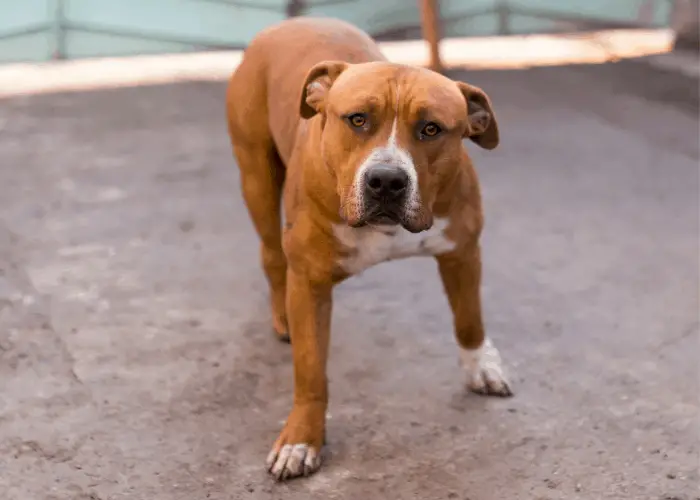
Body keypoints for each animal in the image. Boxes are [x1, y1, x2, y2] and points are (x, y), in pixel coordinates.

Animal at [227, 17, 512, 482]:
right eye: (357, 120)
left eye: (431, 129)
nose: (387, 181)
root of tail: (291, 22)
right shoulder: (308, 283)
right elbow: (310, 373)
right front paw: (301, 440)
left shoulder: (462, 251)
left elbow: (469, 319)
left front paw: (482, 366)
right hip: (256, 175)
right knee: (271, 254)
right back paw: (282, 318)